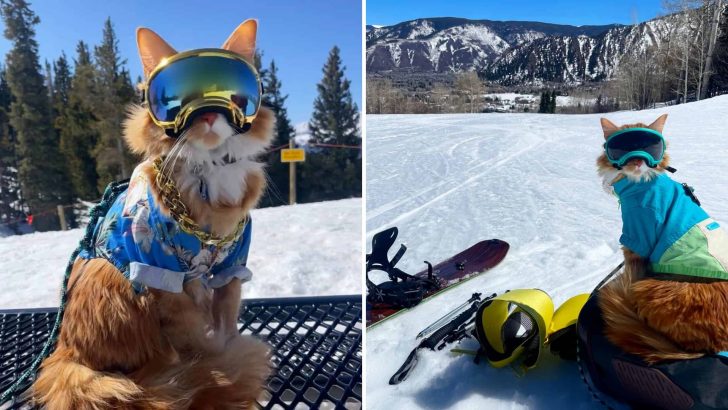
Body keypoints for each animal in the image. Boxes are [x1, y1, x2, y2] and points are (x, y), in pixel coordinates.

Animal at [31, 20, 276, 410]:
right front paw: (221, 369)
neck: (208, 174)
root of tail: (66, 354)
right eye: (177, 98)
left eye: (233, 93)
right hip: (117, 286)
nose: (208, 113)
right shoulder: (163, 277)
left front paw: (228, 354)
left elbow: (226, 324)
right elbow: (201, 342)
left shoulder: (231, 268)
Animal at [596, 113, 728, 364]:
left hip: (648, 289)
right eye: (625, 147)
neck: (641, 184)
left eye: (649, 146)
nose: (638, 161)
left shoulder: (637, 241)